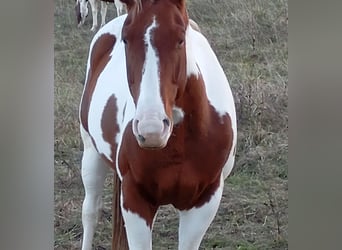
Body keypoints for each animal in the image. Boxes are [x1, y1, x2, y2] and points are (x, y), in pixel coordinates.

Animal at [79, 0, 236, 249]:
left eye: (180, 38)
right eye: (126, 39)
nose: (151, 130)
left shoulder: (204, 203)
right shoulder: (135, 200)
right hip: (91, 153)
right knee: (90, 212)